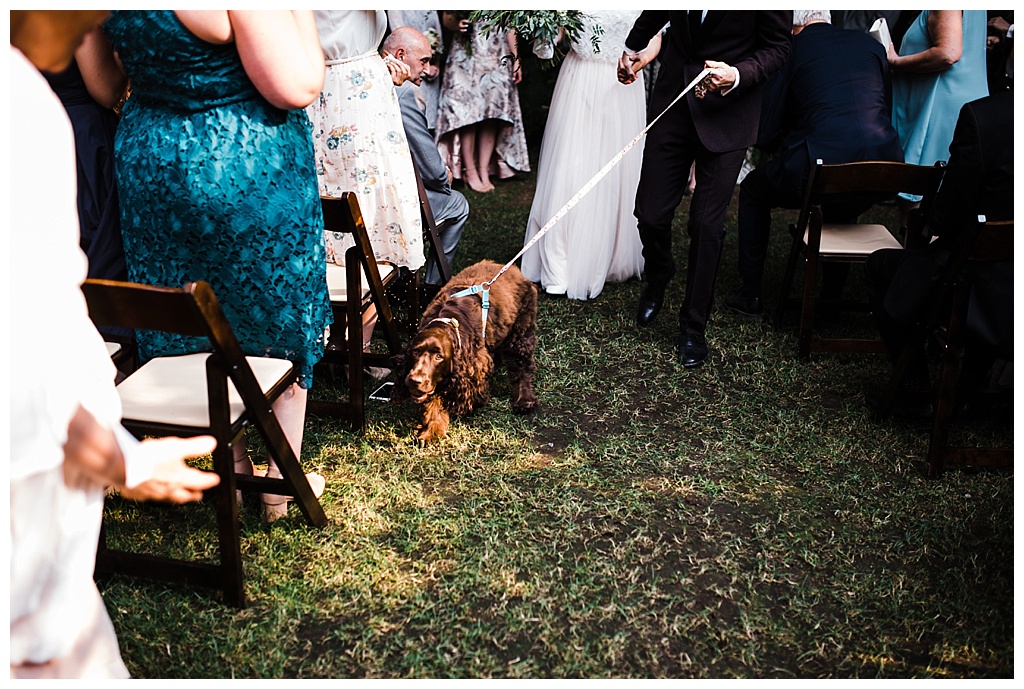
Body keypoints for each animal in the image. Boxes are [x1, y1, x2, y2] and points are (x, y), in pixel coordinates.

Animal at [389, 257, 536, 440]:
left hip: (520, 332)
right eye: (415, 352)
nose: (415, 381)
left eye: (439, 356)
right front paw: (432, 429)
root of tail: (512, 269)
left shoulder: (473, 364)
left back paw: (524, 400)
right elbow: (433, 400)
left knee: (522, 366)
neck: (448, 321)